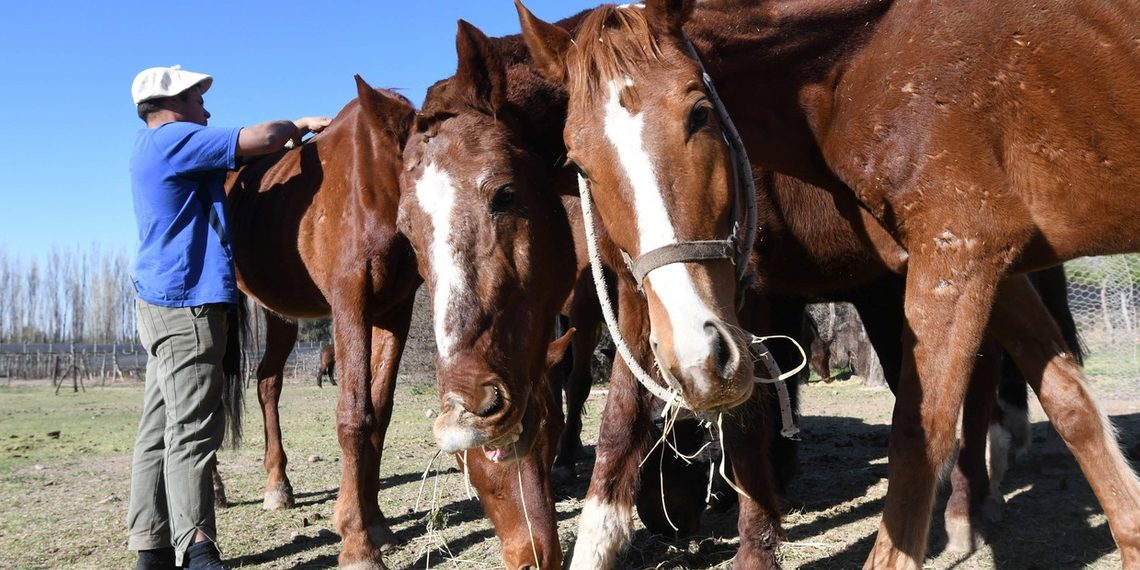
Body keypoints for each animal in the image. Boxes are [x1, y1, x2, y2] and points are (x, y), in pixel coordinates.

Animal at [225, 78, 419, 569]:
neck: (377, 183)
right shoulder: (350, 303)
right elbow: (354, 415)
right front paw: (357, 542)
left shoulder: (395, 310)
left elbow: (380, 412)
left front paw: (376, 522)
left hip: (280, 314)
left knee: (266, 383)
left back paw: (278, 486)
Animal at [517, 0, 1140, 567]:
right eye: (578, 159)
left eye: (700, 115)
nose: (697, 359)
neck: (868, 62)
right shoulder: (993, 265)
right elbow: (1074, 408)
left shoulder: (957, 251)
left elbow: (914, 438)